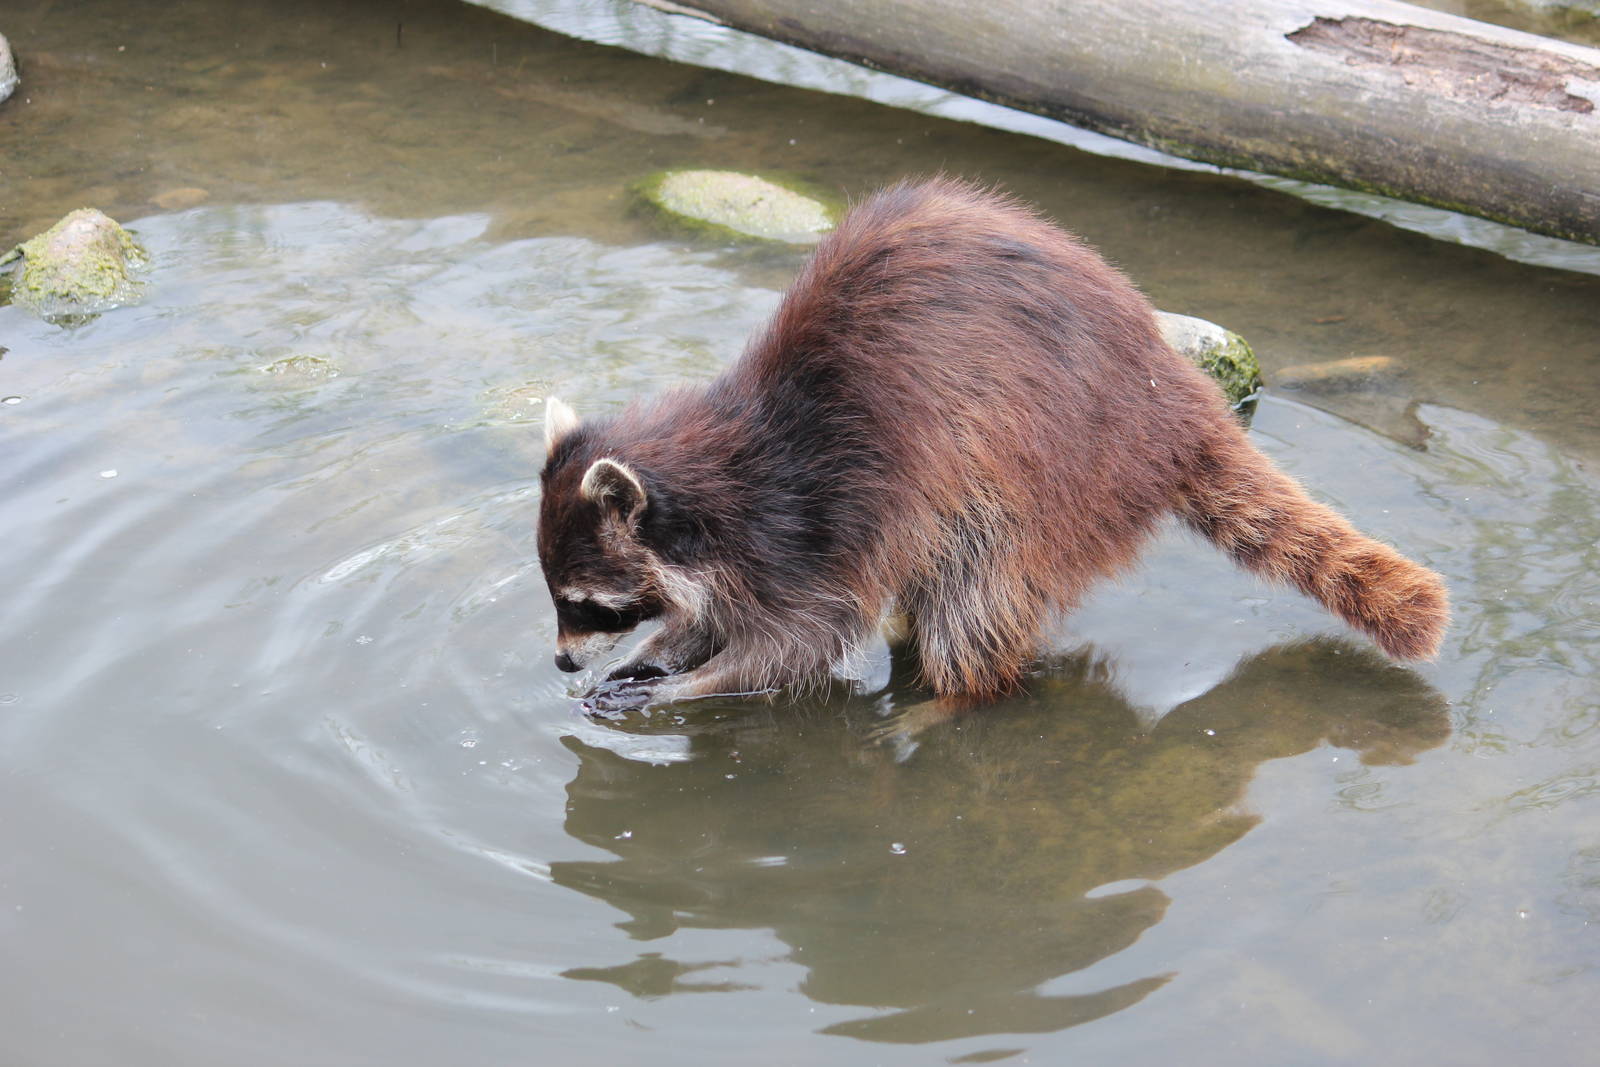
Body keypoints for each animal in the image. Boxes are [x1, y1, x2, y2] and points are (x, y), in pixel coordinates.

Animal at [537, 179, 1448, 712]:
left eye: (585, 601)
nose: (559, 664)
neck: (718, 471)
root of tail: (1178, 400)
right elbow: (718, 614)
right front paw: (663, 651)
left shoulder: (814, 525)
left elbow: (798, 644)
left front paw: (697, 683)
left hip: (1059, 473)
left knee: (977, 596)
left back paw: (950, 697)